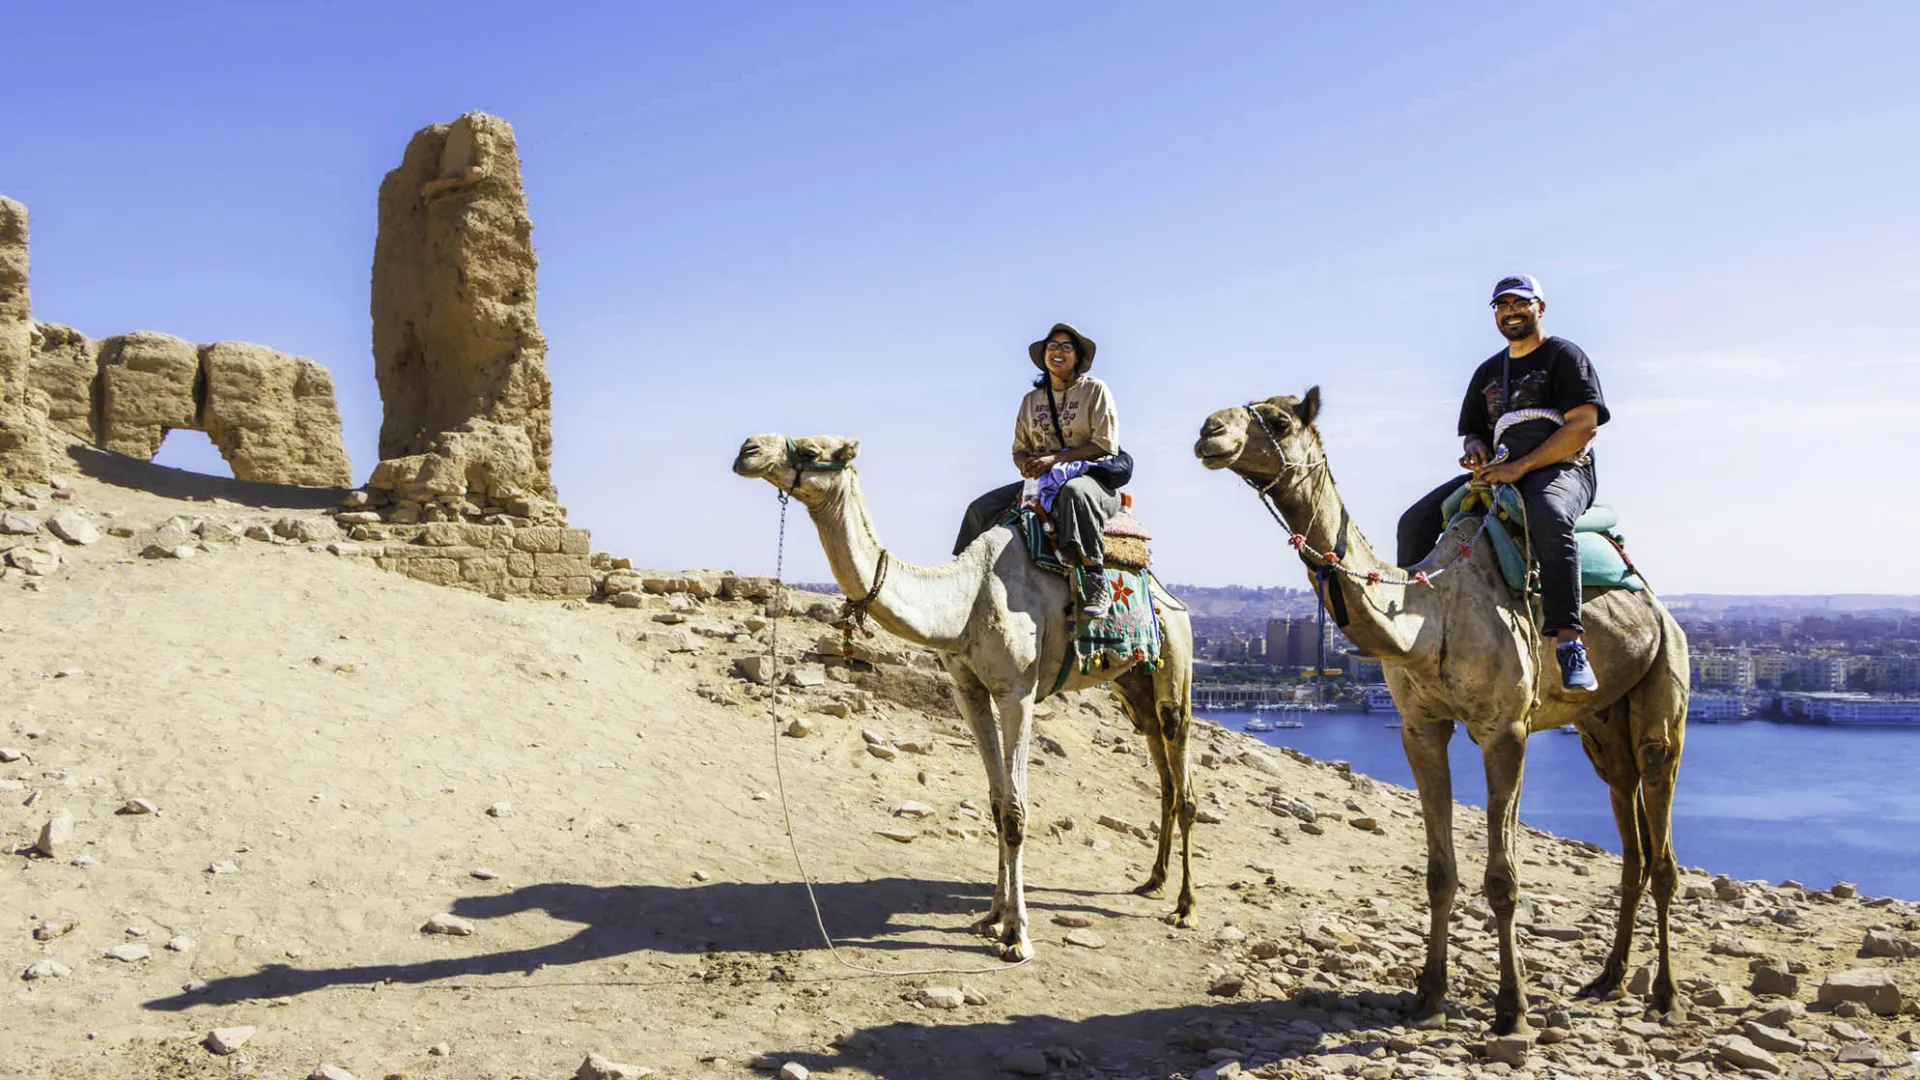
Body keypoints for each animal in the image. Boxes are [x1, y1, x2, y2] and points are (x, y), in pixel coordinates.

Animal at [733, 433, 1199, 961]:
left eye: (812, 451)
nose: (747, 449)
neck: (965, 601)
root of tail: (1166, 592)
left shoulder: (1017, 691)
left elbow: (1016, 811)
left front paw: (1017, 935)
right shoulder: (968, 690)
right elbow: (996, 805)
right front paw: (992, 917)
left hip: (1175, 658)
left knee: (1182, 775)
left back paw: (1184, 906)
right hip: (1133, 682)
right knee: (1162, 769)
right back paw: (1153, 881)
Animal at [1194, 389, 1689, 1036]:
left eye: (1277, 421)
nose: (1209, 432)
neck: (1430, 617)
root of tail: (1654, 601)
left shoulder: (1506, 729)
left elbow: (1503, 878)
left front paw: (1512, 1009)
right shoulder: (1420, 728)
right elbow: (1438, 874)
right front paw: (1427, 996)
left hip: (1665, 683)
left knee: (1662, 836)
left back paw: (1666, 995)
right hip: (1602, 720)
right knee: (1629, 826)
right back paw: (1608, 979)